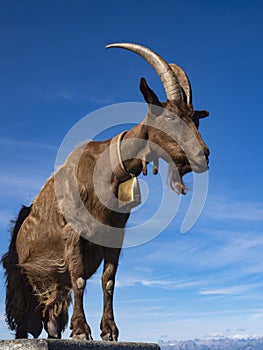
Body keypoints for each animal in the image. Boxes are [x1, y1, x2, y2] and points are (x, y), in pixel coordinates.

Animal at [1, 43, 210, 342]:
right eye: (170, 116)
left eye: (195, 120)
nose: (203, 155)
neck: (109, 170)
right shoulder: (73, 232)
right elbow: (78, 278)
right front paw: (81, 330)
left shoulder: (115, 236)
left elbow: (108, 281)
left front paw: (109, 331)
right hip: (19, 276)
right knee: (22, 313)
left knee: (51, 319)